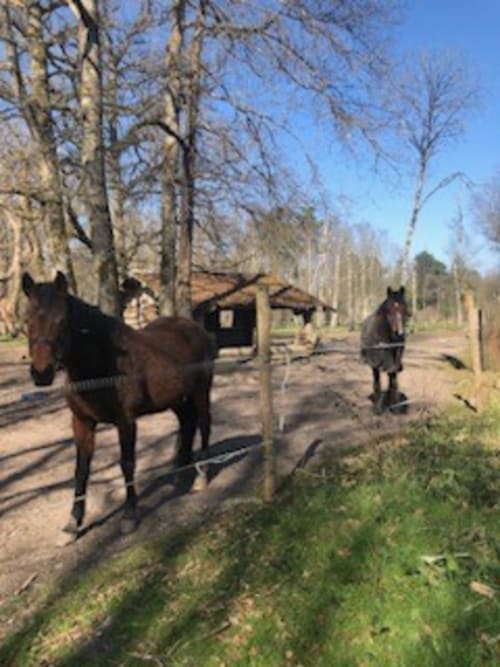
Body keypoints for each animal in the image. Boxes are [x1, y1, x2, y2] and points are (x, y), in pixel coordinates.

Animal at [22, 271, 215, 535]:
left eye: (62, 320)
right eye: (27, 320)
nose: (42, 373)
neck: (101, 365)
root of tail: (197, 330)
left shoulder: (126, 422)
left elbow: (127, 464)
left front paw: (130, 514)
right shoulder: (82, 422)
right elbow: (81, 469)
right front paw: (74, 522)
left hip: (200, 392)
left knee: (204, 424)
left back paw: (201, 477)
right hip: (177, 399)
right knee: (188, 423)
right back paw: (179, 472)